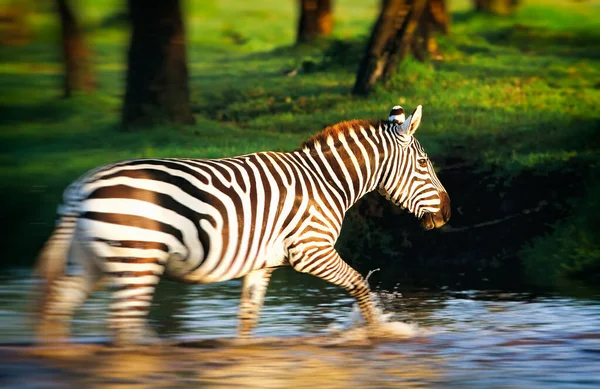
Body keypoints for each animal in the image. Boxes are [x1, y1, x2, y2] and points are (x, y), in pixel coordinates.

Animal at [35, 103, 450, 342]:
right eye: (424, 164)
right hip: (137, 261)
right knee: (122, 326)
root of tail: (81, 188)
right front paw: (378, 334)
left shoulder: (262, 262)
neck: (325, 182)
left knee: (58, 309)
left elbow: (247, 320)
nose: (448, 213)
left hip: (96, 263)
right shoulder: (311, 251)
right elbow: (361, 285)